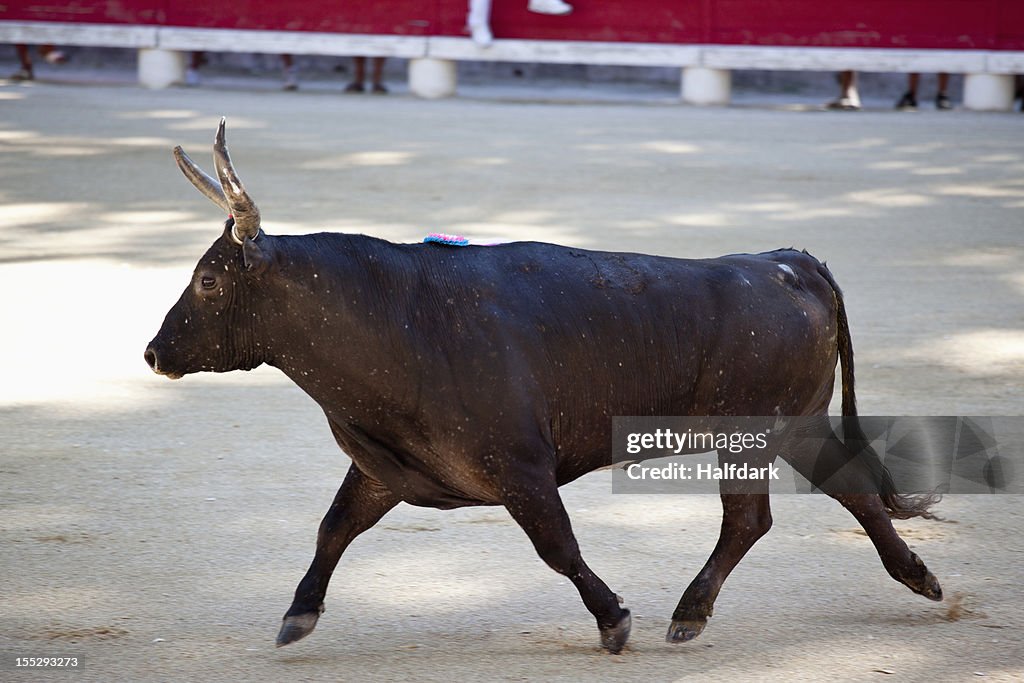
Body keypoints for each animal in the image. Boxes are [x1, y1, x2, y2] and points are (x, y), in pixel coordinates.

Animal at [146, 122, 942, 655]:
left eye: (209, 279)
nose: (153, 353)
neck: (399, 316)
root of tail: (788, 262)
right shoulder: (384, 467)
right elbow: (334, 527)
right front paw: (298, 614)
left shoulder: (521, 469)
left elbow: (556, 545)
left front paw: (614, 619)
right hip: (796, 424)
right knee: (849, 489)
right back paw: (918, 577)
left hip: (753, 432)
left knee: (751, 518)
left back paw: (689, 611)